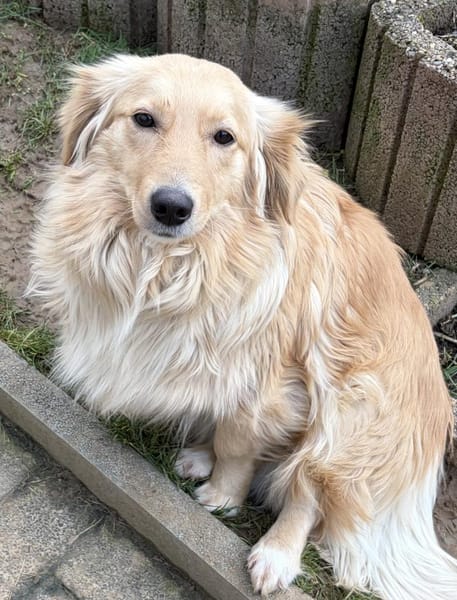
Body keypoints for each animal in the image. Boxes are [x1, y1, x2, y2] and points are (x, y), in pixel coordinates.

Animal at [29, 54, 457, 599]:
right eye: (143, 119)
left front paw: (222, 497)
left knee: (307, 489)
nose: (172, 206)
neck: (167, 267)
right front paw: (211, 464)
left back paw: (276, 554)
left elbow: (239, 446)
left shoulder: (268, 385)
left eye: (224, 137)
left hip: (352, 407)